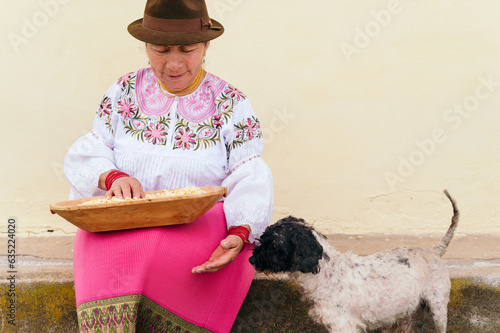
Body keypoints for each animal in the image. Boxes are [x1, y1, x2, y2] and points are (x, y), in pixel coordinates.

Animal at [248, 189, 458, 332]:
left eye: (275, 244)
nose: (251, 259)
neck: (325, 274)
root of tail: (434, 251)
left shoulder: (343, 325)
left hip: (438, 307)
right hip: (402, 315)